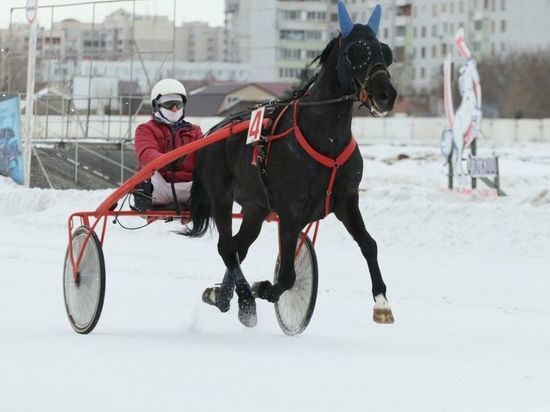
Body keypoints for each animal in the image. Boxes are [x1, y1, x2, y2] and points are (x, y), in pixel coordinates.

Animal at [185, 1, 396, 326]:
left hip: (256, 207)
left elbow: (368, 244)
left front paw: (382, 302)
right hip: (220, 197)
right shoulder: (290, 212)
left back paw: (222, 295)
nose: (386, 94)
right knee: (228, 247)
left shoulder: (347, 200)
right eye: (353, 52)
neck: (326, 139)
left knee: (240, 246)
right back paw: (245, 300)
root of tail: (212, 131)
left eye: (386, 52)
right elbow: (286, 275)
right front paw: (262, 288)